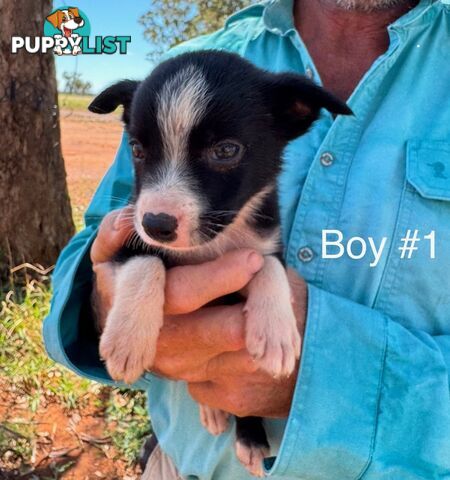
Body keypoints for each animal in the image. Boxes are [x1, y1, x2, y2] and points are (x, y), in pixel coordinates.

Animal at [89, 49, 352, 476]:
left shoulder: (267, 238)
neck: (214, 242)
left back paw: (248, 437)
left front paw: (276, 330)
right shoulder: (128, 229)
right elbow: (146, 263)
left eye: (226, 151)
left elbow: (268, 266)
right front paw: (128, 338)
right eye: (138, 150)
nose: (157, 224)